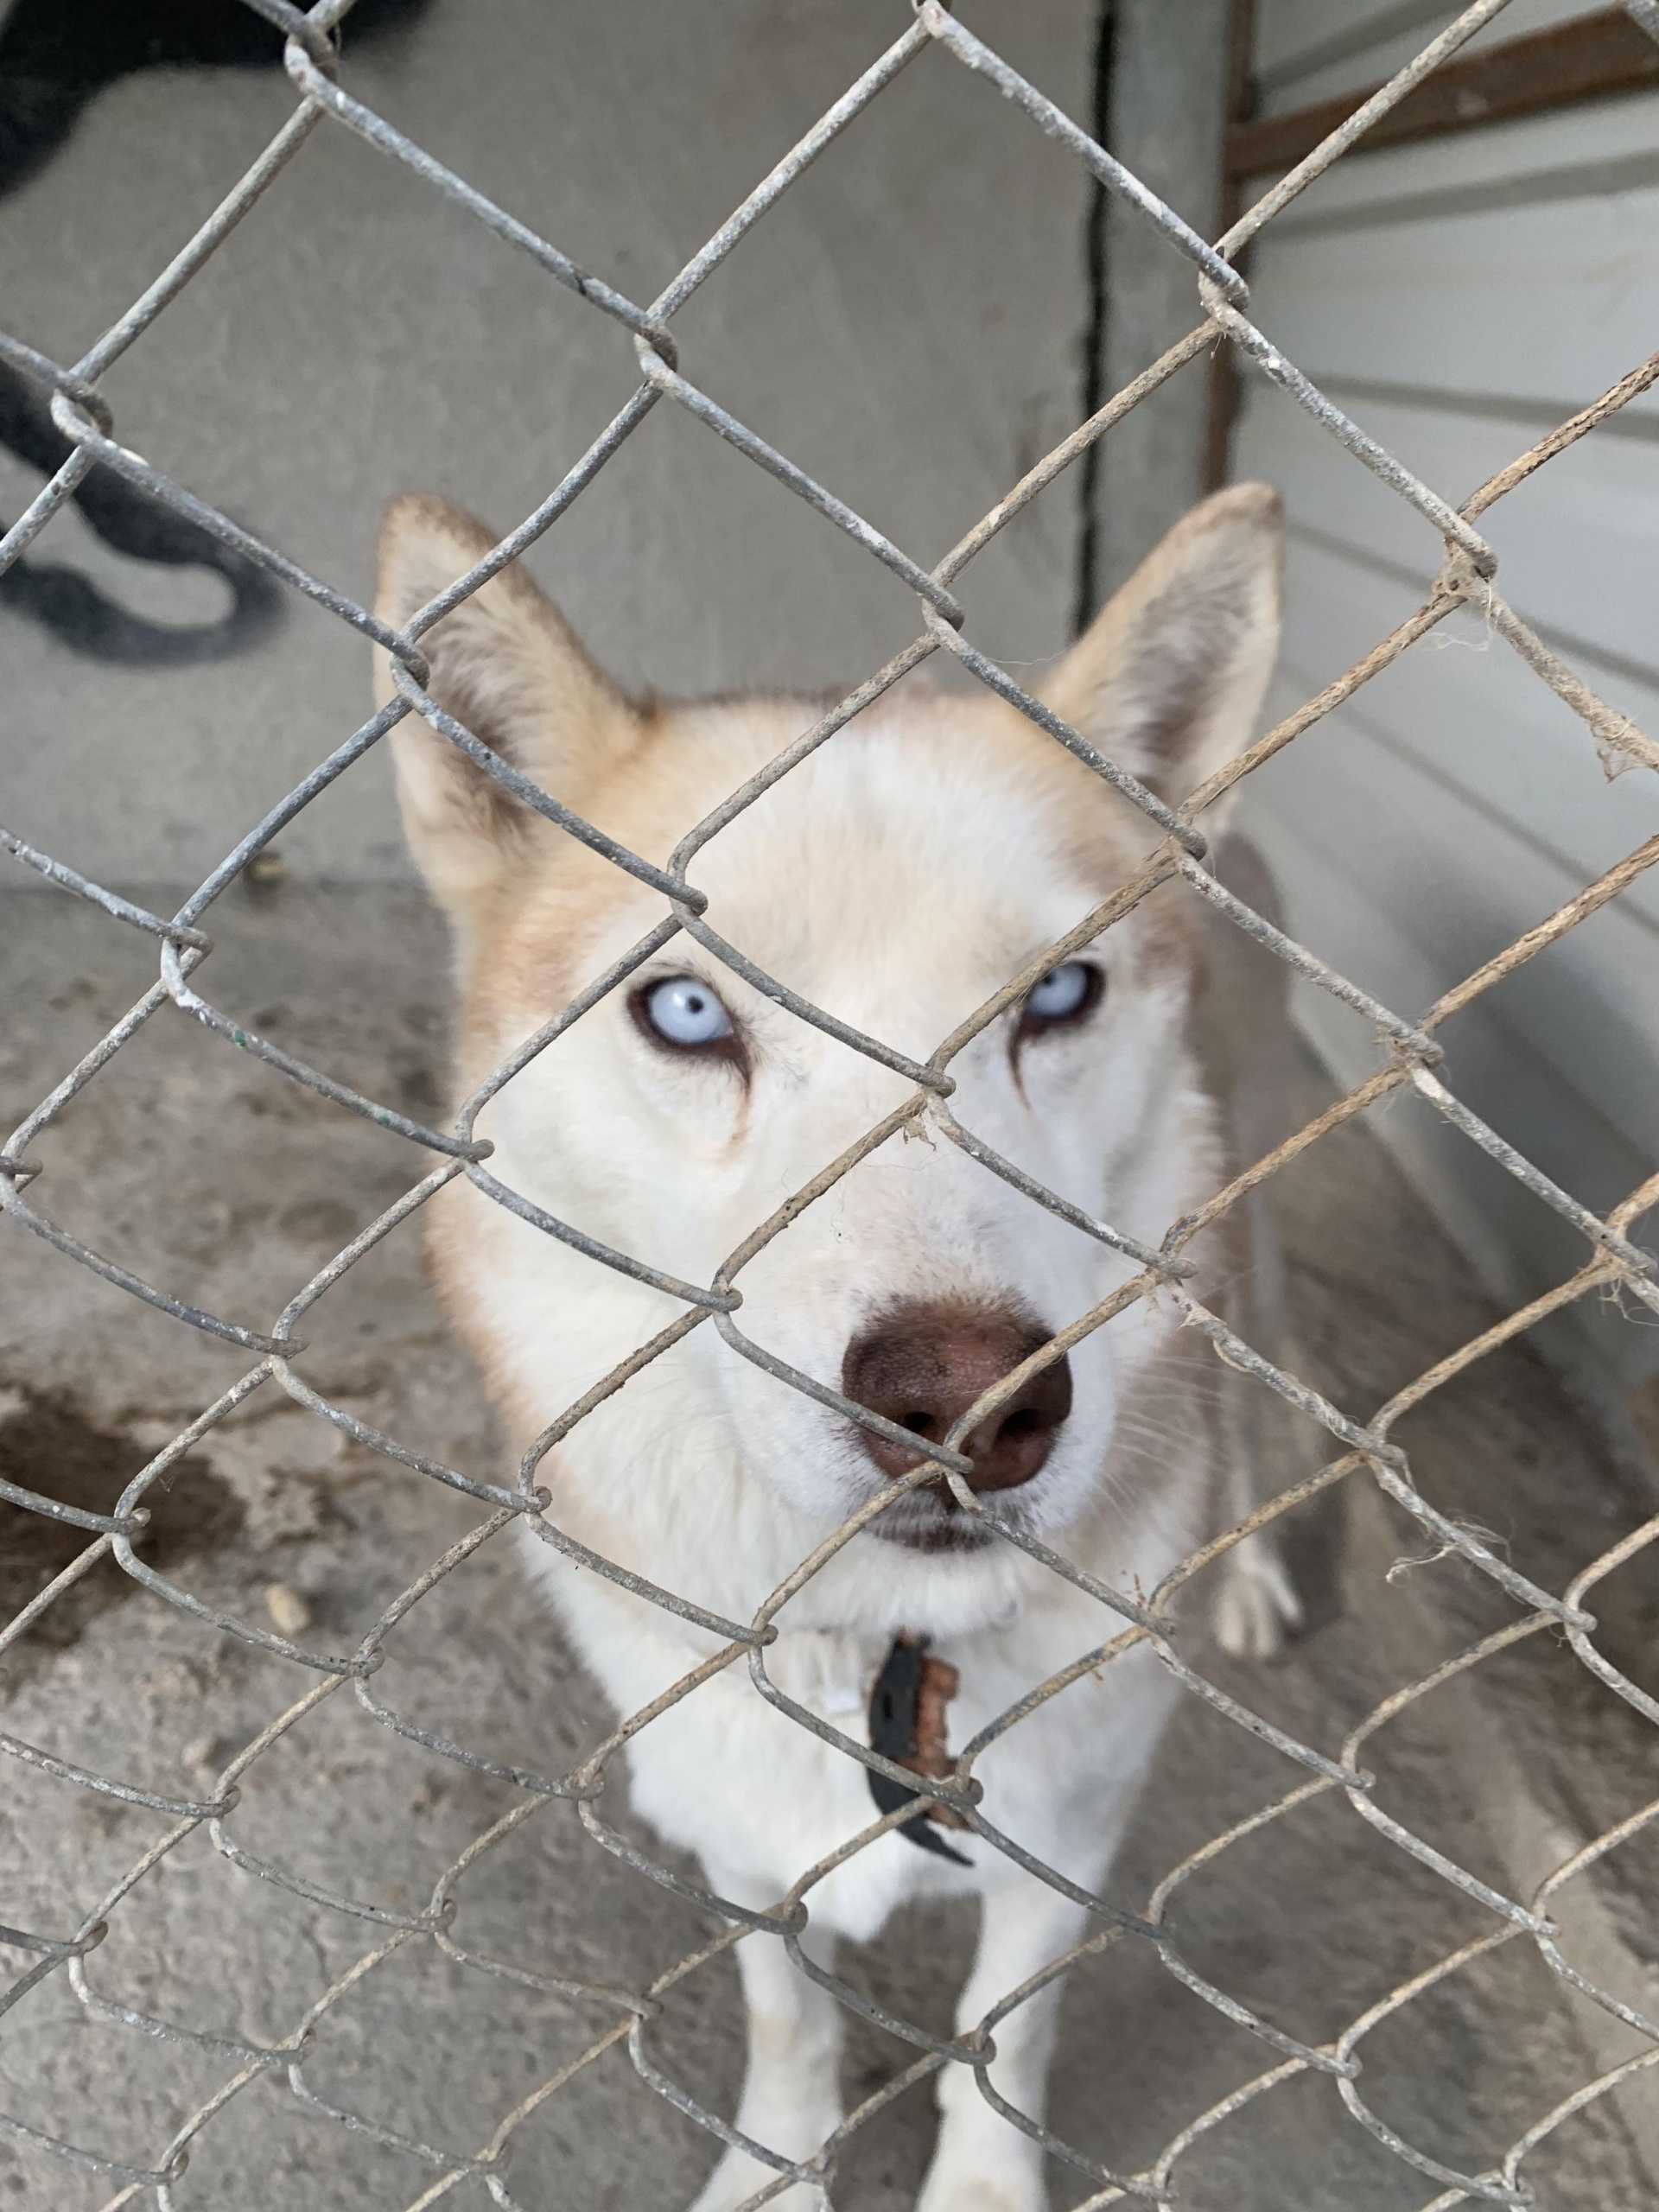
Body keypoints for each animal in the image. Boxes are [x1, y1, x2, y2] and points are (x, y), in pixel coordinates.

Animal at [373, 484, 1300, 2212]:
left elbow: (1003, 2038)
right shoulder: (734, 1824)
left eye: (1060, 994)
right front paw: (778, 2166)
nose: (967, 1404)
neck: (874, 1635)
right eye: (684, 1015)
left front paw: (982, 2189)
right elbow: (785, 2015)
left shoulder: (1071, 1831)